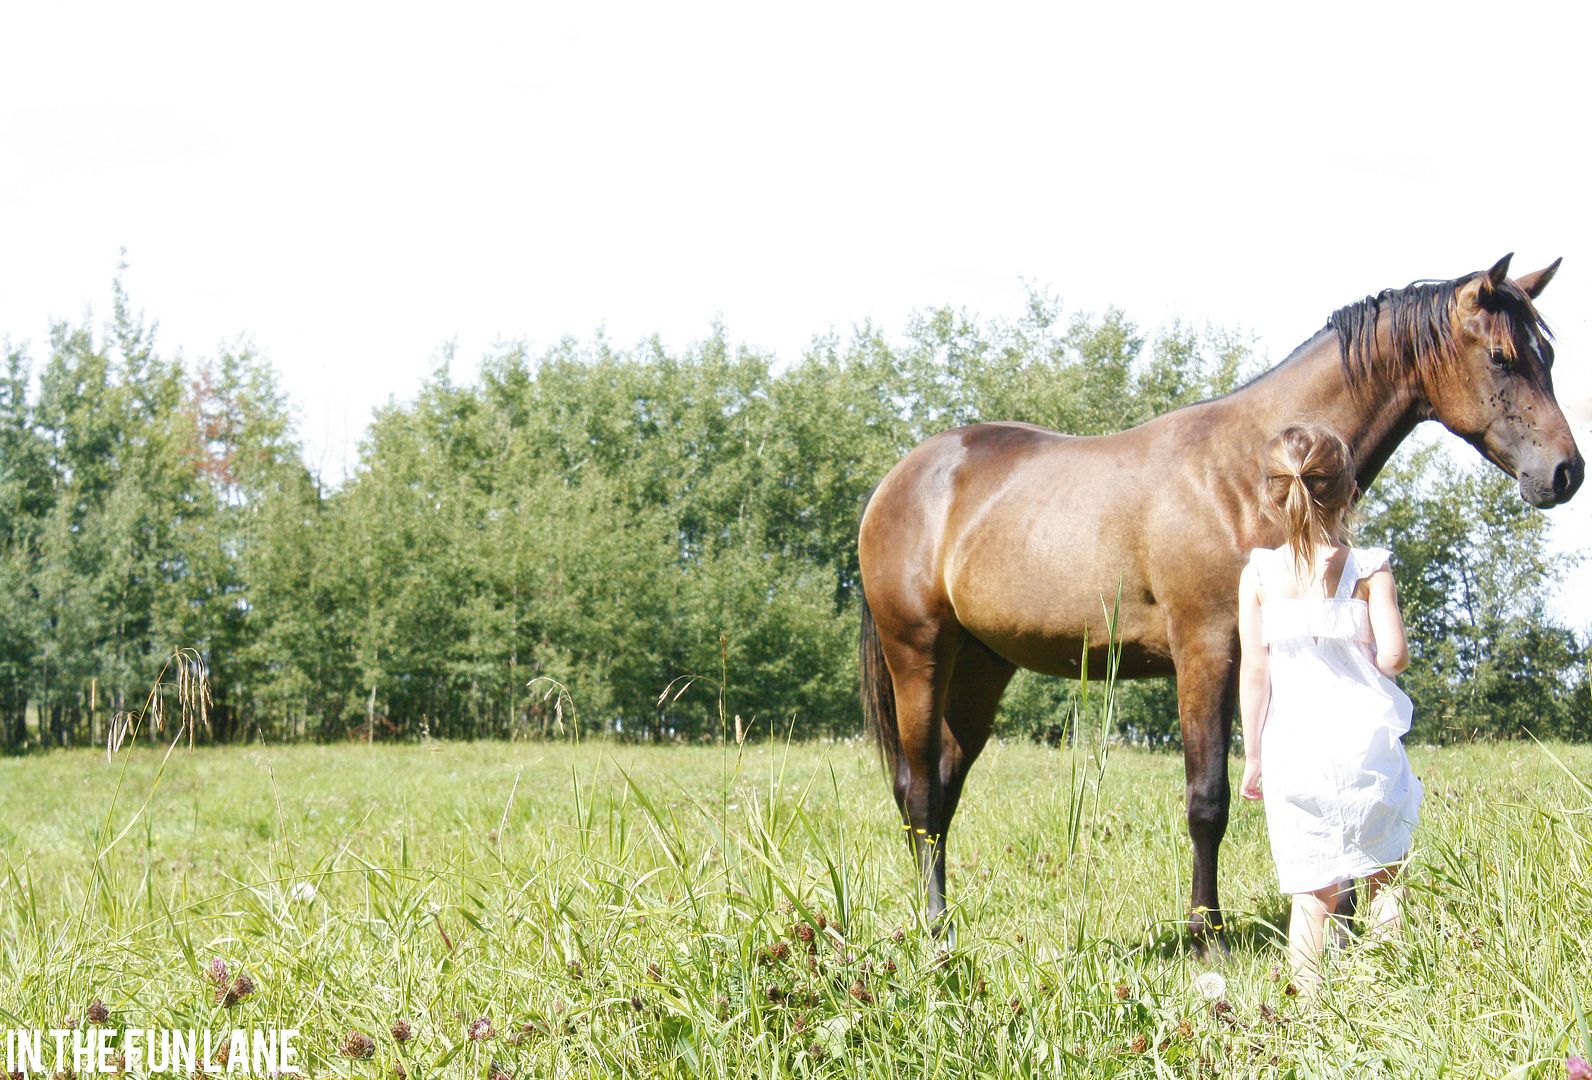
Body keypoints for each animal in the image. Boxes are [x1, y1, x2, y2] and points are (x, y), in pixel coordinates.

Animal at [866, 253, 1585, 949]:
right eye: (1502, 356)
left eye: (1547, 355)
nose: (1566, 472)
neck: (1247, 476)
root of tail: (900, 479)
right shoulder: (1205, 652)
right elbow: (1207, 800)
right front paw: (1206, 934)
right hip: (920, 655)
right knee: (922, 793)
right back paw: (935, 934)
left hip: (982, 667)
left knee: (943, 790)